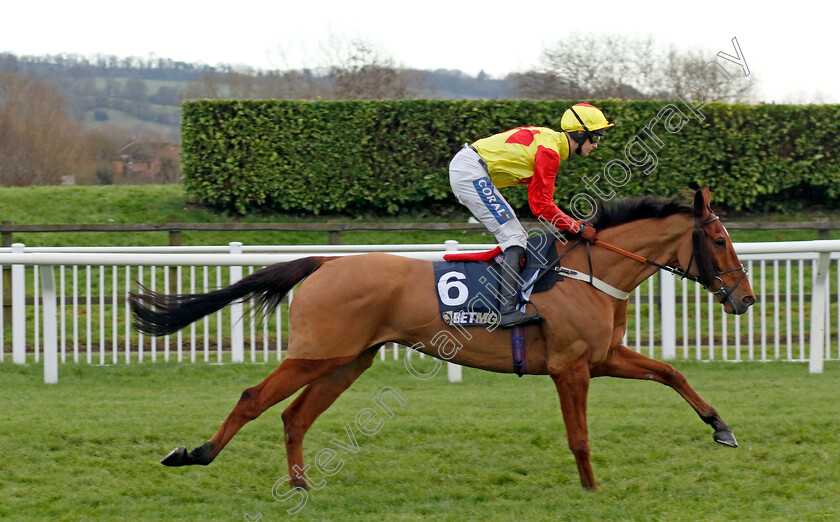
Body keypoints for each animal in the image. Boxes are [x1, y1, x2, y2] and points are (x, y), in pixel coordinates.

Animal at [130, 187, 756, 488]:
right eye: (719, 240)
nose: (745, 299)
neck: (587, 271)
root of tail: (327, 261)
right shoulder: (571, 367)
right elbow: (579, 436)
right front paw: (592, 489)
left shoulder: (602, 357)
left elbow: (670, 371)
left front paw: (721, 427)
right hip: (318, 353)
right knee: (253, 399)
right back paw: (195, 454)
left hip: (348, 361)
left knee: (294, 416)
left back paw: (302, 485)